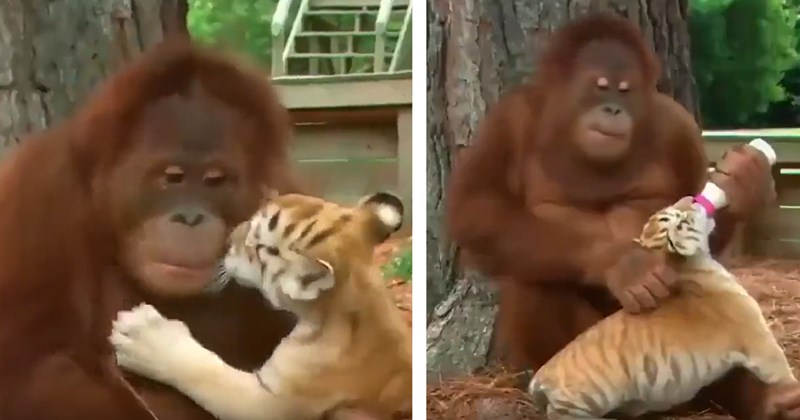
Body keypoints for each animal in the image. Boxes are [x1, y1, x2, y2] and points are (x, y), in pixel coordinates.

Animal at [527, 196, 797, 419]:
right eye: (676, 219)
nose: (692, 198)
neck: (688, 265)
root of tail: (541, 376)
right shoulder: (760, 343)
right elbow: (785, 372)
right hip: (579, 402)